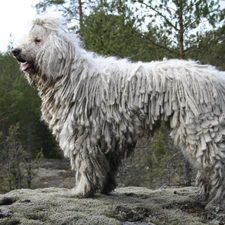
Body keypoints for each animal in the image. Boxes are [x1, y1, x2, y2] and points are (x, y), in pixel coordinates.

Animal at [12, 14, 225, 211]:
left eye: (37, 40)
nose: (15, 51)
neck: (69, 76)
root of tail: (218, 78)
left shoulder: (80, 133)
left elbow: (84, 164)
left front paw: (81, 191)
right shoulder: (109, 136)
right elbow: (107, 165)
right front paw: (104, 187)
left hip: (201, 125)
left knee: (217, 165)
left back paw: (215, 202)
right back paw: (204, 196)